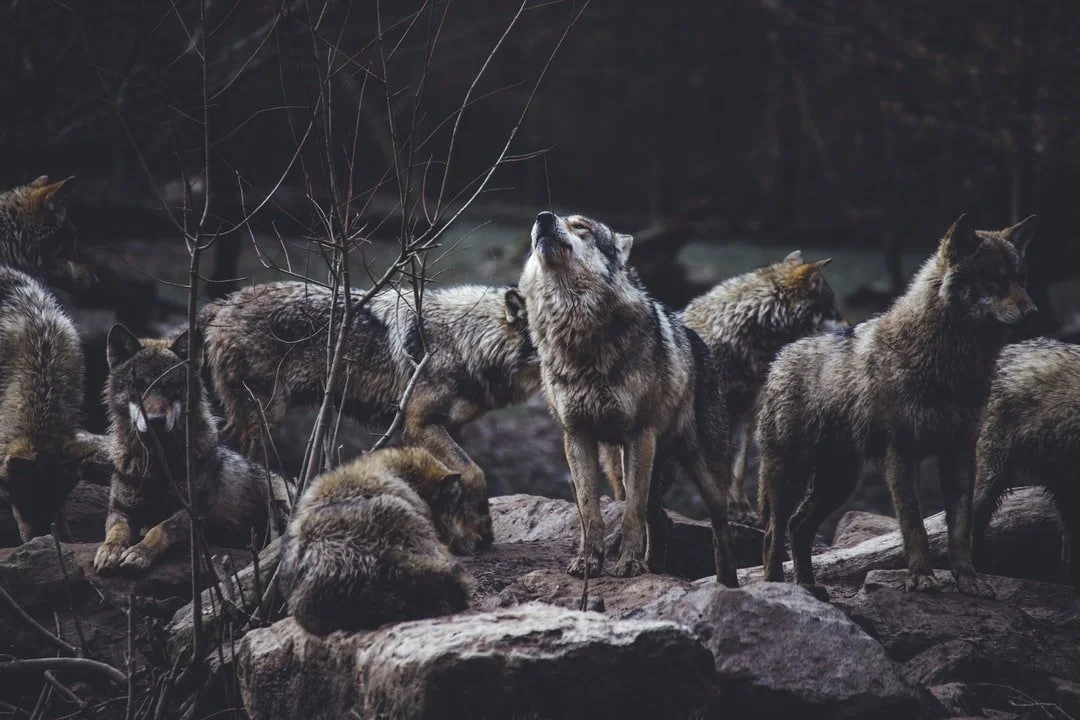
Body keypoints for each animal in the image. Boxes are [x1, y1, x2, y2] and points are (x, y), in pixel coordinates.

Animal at [93, 324, 293, 575]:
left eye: (171, 387)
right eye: (139, 386)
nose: (155, 421)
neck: (158, 466)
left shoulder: (194, 514)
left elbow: (159, 529)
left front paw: (139, 553)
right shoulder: (120, 510)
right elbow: (117, 531)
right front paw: (109, 550)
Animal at [199, 281, 540, 550]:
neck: (466, 341)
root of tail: (224, 302)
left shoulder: (450, 427)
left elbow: (459, 481)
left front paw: (469, 533)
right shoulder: (419, 424)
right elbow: (475, 473)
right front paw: (481, 531)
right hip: (265, 418)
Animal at [518, 210, 738, 585]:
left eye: (581, 226)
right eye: (549, 219)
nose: (543, 218)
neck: (578, 334)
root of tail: (699, 341)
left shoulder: (639, 434)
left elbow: (631, 514)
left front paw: (631, 565)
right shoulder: (576, 436)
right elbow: (589, 511)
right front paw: (589, 563)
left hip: (702, 472)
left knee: (719, 530)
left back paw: (727, 584)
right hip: (621, 466)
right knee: (661, 520)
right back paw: (657, 569)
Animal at [757, 214, 1037, 600]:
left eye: (1020, 278)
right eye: (993, 279)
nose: (1033, 312)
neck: (950, 362)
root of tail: (781, 356)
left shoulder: (959, 453)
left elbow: (960, 528)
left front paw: (969, 580)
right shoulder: (901, 454)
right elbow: (913, 525)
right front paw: (921, 579)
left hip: (839, 482)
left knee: (799, 526)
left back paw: (808, 587)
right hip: (792, 474)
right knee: (774, 530)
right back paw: (776, 587)